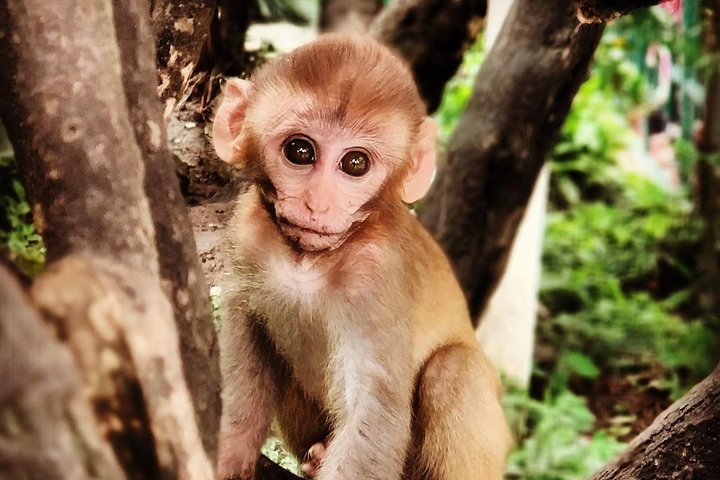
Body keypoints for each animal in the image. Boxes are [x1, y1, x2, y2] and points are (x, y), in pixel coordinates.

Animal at [214, 34, 512, 480]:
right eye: (299, 151)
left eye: (355, 163)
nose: (318, 204)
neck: (308, 260)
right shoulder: (245, 236)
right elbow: (245, 363)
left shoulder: (376, 274)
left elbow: (375, 414)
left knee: (454, 371)